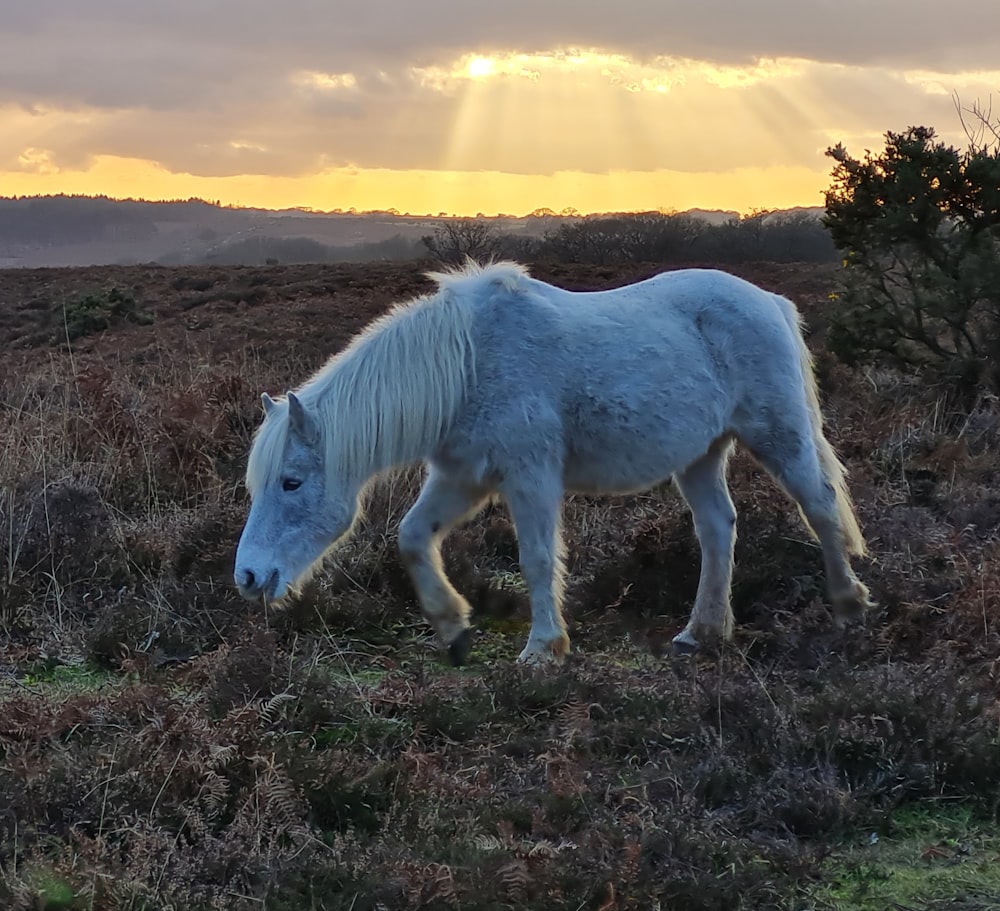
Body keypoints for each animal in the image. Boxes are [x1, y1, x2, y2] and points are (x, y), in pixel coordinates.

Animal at [232, 260, 868, 668]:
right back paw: (702, 632)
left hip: (778, 433)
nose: (248, 578)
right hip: (700, 454)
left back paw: (848, 607)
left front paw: (543, 649)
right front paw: (453, 628)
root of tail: (770, 301)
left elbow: (537, 558)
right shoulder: (463, 476)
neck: (467, 365)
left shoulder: (529, 475)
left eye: (291, 483)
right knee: (718, 529)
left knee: (819, 506)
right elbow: (412, 537)